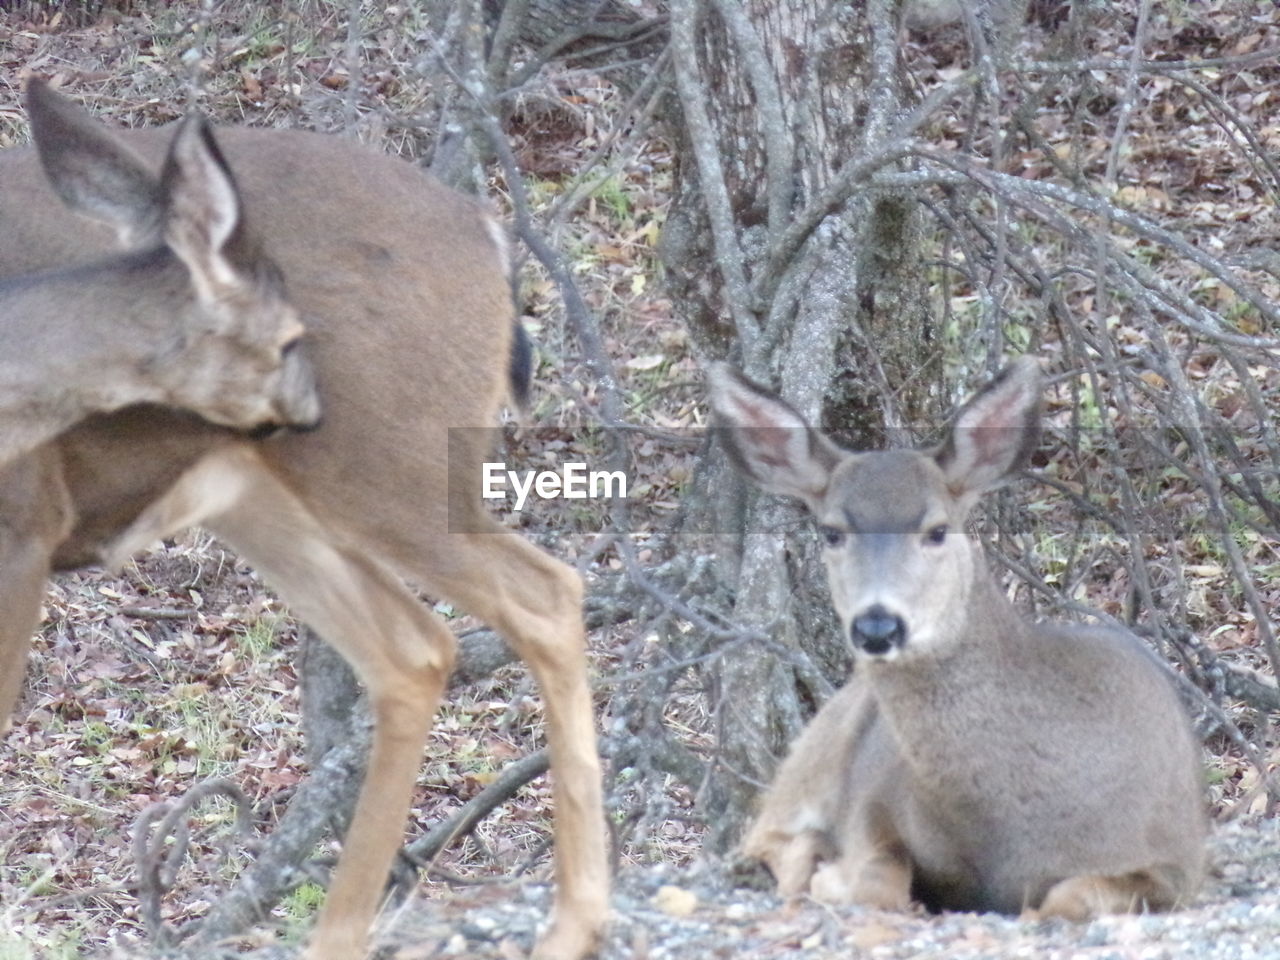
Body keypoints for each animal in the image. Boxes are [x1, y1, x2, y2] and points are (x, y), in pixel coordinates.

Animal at [716, 360, 1203, 926]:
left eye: (936, 529)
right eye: (832, 532)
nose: (877, 627)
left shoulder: (1176, 860)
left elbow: (1071, 897)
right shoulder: (872, 801)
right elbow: (879, 881)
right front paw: (831, 877)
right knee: (761, 832)